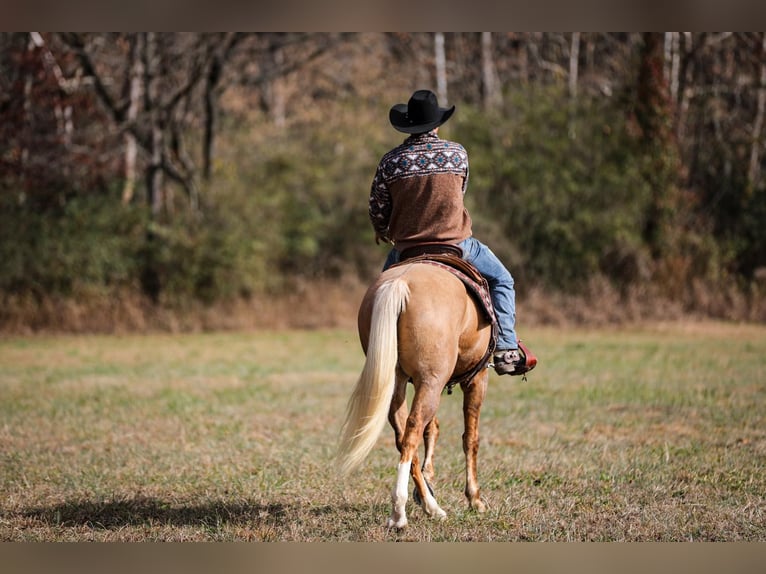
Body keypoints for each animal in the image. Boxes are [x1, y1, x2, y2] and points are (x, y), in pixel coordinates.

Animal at [340, 260, 496, 532]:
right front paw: (475, 499)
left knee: (404, 434)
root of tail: (401, 281)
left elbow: (432, 429)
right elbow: (470, 438)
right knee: (413, 429)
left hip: (399, 381)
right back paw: (399, 513)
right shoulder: (477, 379)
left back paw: (430, 506)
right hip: (431, 381)